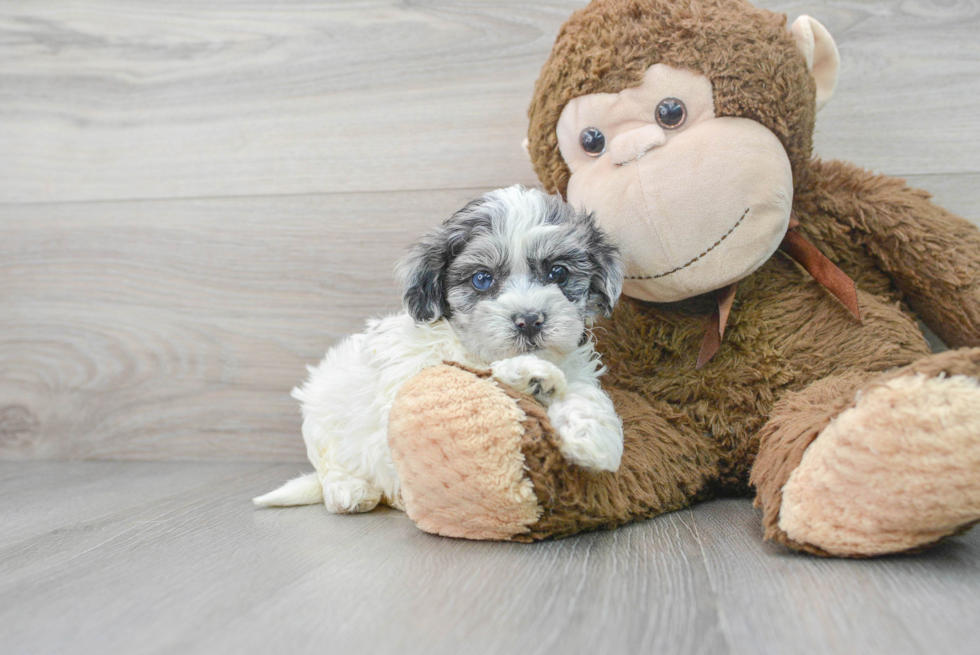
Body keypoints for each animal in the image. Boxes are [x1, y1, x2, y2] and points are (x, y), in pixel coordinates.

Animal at [253, 183, 620, 512]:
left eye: (558, 273)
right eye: (482, 279)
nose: (529, 320)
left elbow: (581, 391)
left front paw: (594, 435)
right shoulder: (413, 381)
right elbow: (473, 374)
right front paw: (527, 373)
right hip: (322, 416)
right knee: (330, 464)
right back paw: (350, 490)